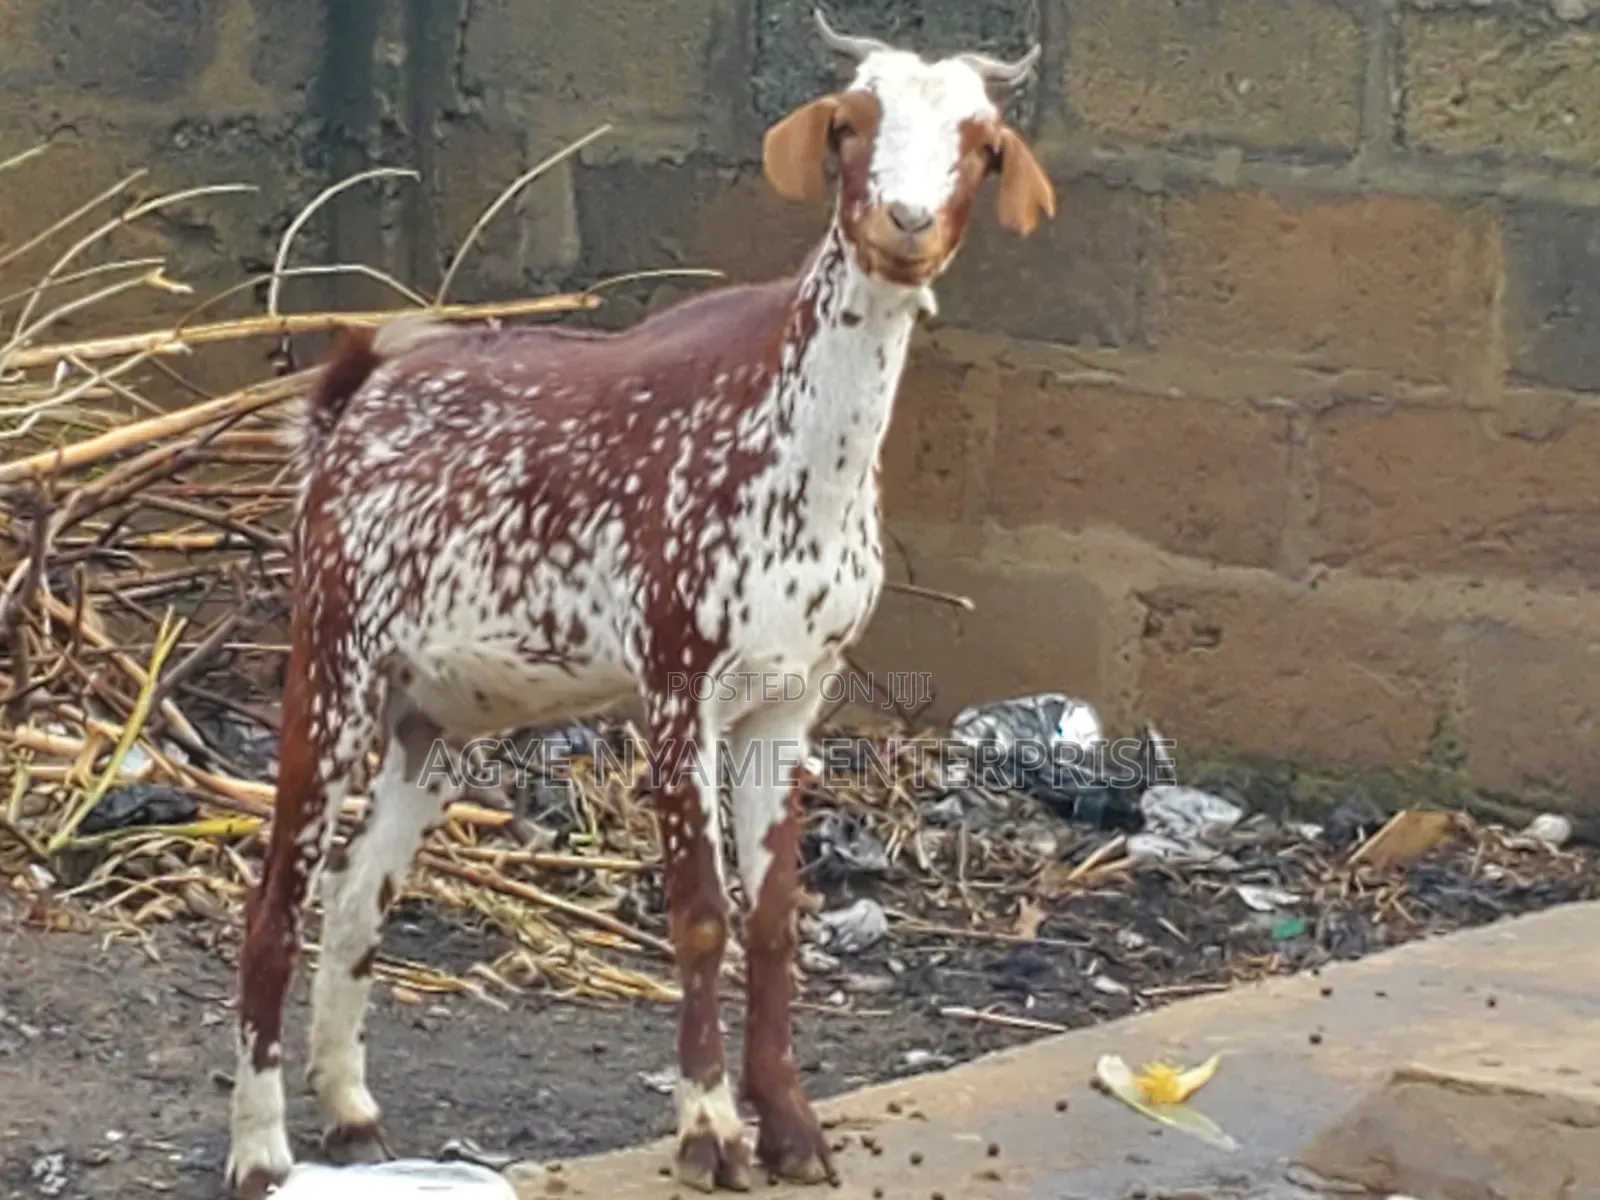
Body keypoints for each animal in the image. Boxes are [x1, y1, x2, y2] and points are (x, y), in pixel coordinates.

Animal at [225, 11, 1055, 1197]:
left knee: (353, 899)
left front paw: (792, 1126)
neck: (790, 444)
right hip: (335, 664)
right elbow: (701, 916)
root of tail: (353, 399)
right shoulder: (678, 684)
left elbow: (773, 920)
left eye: (982, 146)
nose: (901, 225)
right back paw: (260, 1151)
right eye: (850, 125)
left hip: (437, 719)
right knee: (273, 908)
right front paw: (709, 1129)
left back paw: (351, 1116)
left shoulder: (790, 700)